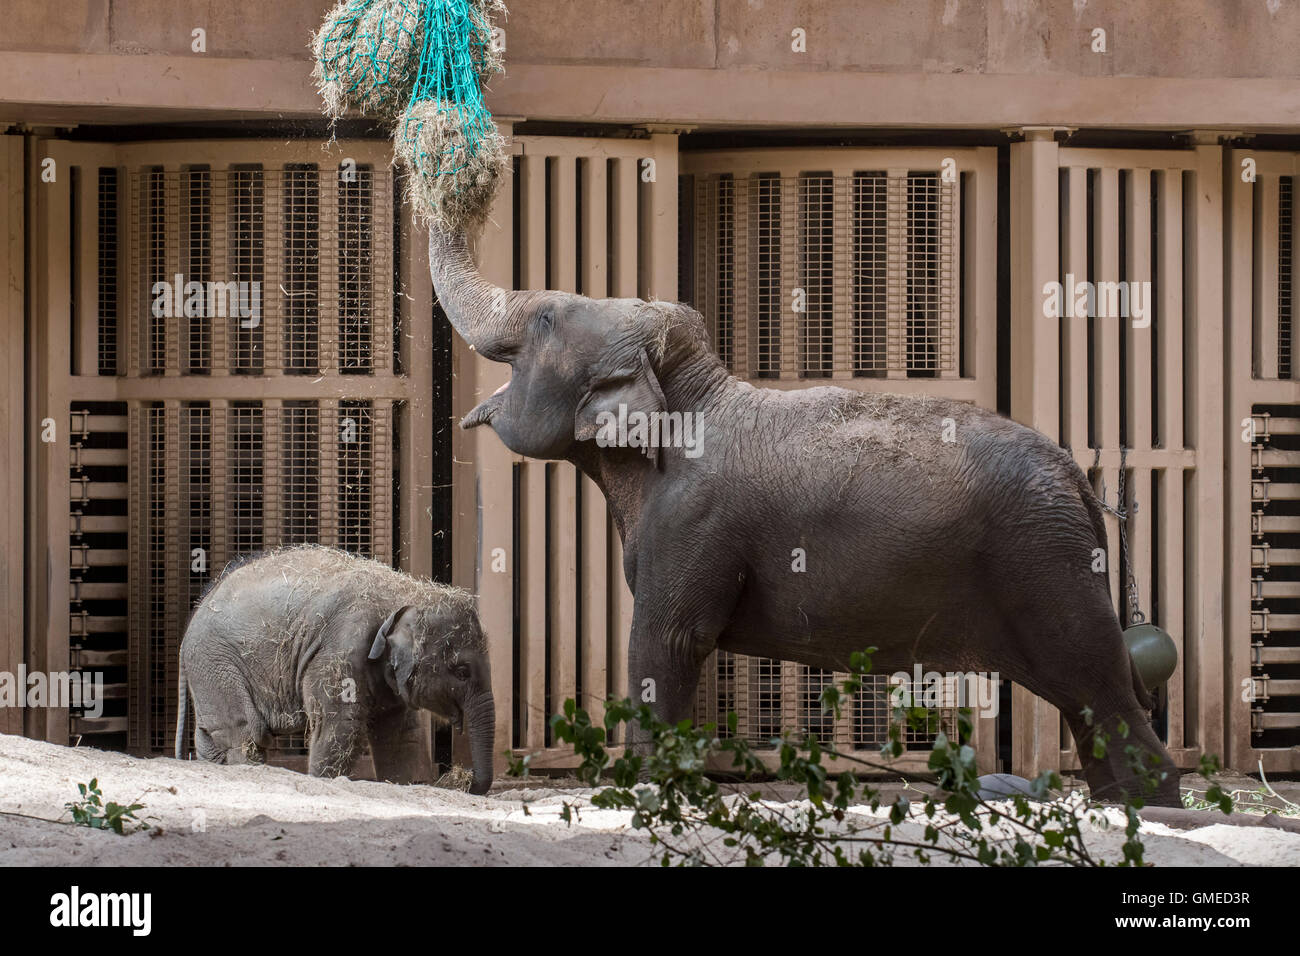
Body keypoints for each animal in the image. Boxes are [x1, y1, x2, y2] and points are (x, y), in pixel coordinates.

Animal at [175, 545, 495, 795]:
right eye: (462, 671)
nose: (464, 780)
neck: (407, 592)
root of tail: (196, 610)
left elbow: (401, 734)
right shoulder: (342, 648)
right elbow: (340, 726)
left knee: (212, 737)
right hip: (217, 663)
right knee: (244, 733)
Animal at [427, 226, 1184, 808]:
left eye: (545, 319)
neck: (694, 394)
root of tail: (1079, 482)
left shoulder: (694, 525)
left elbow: (666, 645)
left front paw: (640, 791)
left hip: (1046, 566)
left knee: (1102, 688)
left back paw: (1155, 808)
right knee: (1090, 703)